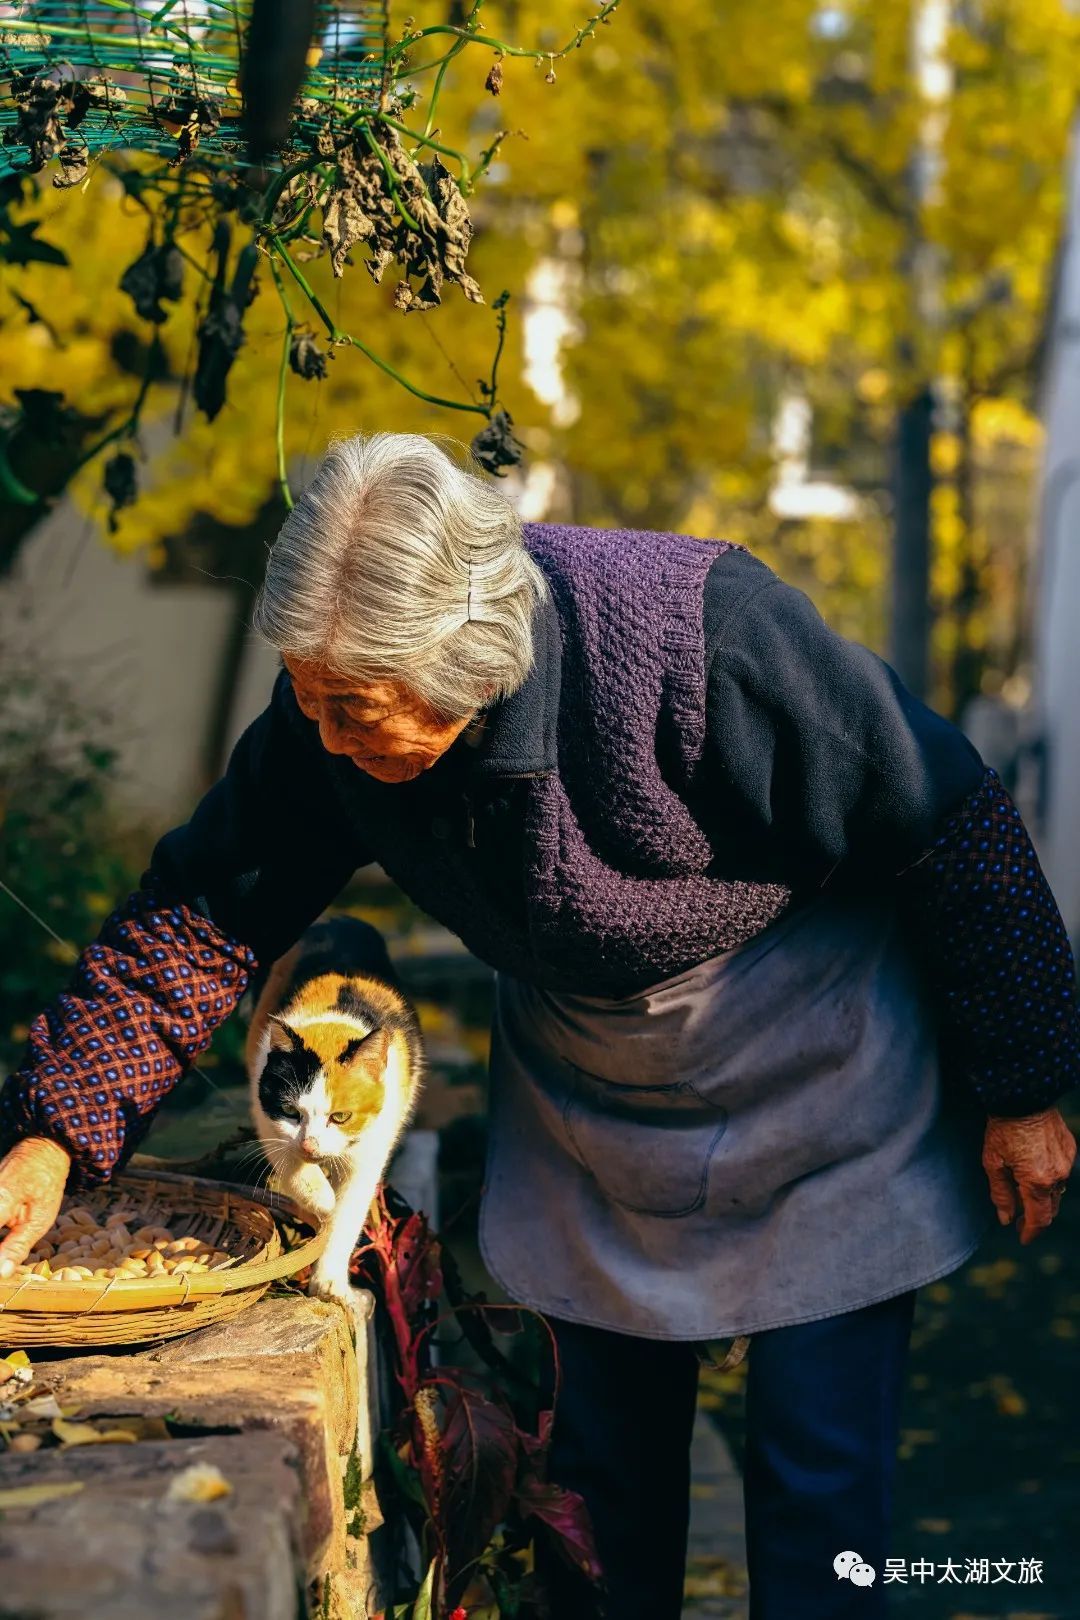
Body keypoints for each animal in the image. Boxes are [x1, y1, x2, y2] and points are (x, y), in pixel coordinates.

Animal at [247, 920, 424, 1308]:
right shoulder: (269, 1122)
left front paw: (329, 1283)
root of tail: (342, 919)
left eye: (341, 1117)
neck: (333, 1023)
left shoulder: (373, 1147)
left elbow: (347, 1217)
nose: (311, 1147)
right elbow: (293, 1167)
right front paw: (323, 1199)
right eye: (290, 1111)